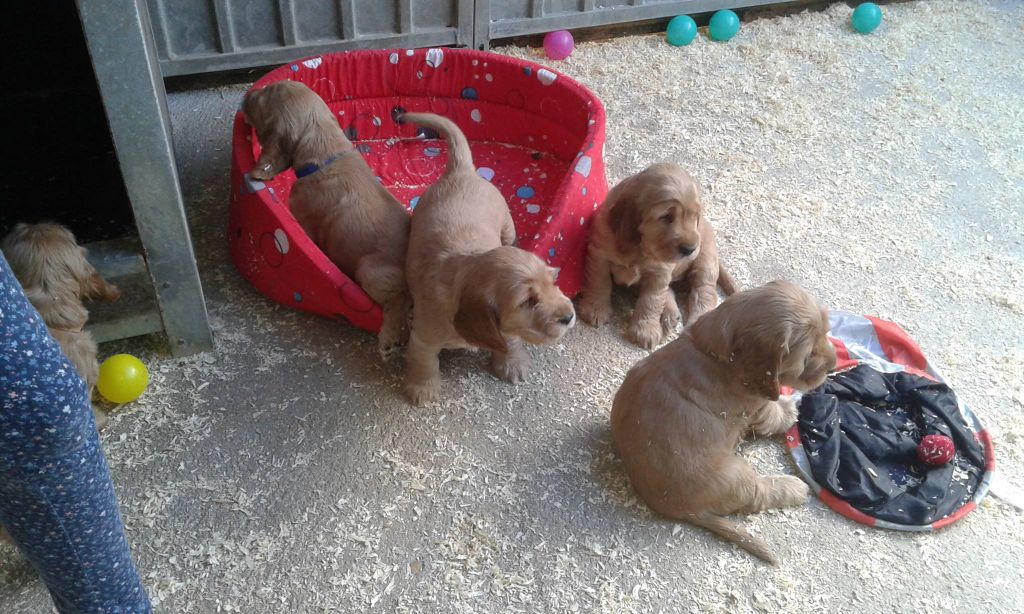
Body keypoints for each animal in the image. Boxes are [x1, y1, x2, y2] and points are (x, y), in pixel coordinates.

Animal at [242, 81, 411, 360]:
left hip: (369, 270)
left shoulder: (306, 222)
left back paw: (389, 339)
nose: (246, 94)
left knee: (398, 301)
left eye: (265, 95)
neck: (326, 155)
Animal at [397, 112, 577, 405]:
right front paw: (422, 388)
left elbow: (510, 339)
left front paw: (512, 363)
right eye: (528, 301)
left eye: (554, 281)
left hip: (507, 224)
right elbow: (424, 361)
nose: (570, 316)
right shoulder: (423, 336)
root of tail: (461, 171)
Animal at [577, 162, 737, 349]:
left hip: (705, 261)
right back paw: (670, 314)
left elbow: (651, 300)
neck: (640, 247)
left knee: (704, 293)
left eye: (695, 216)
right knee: (672, 291)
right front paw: (595, 309)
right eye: (666, 216)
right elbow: (599, 283)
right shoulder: (599, 255)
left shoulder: (660, 272)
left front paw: (645, 329)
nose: (690, 249)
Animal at [610, 280, 835, 564]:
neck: (714, 351)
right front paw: (791, 407)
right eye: (807, 357)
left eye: (827, 331)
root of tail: (681, 510)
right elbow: (774, 413)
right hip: (736, 474)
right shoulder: (757, 406)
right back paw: (794, 487)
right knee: (758, 495)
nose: (833, 364)